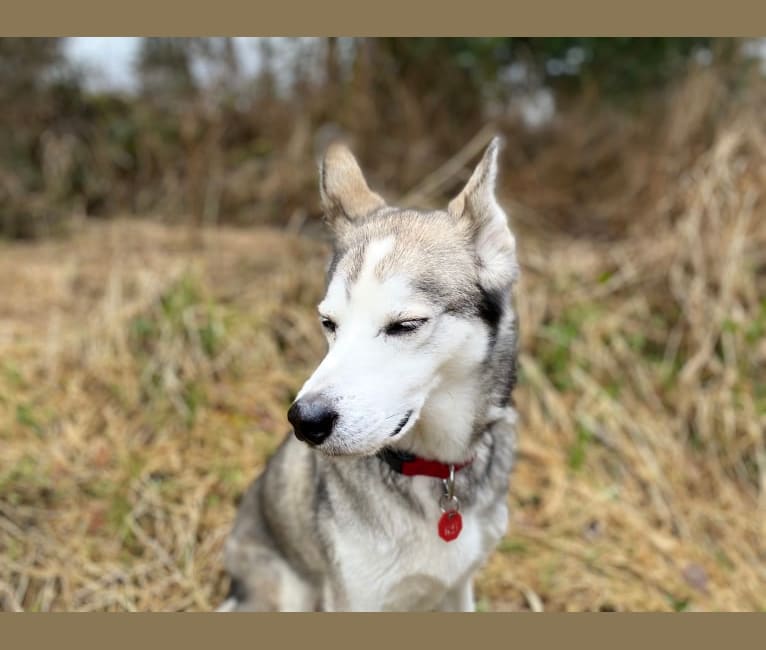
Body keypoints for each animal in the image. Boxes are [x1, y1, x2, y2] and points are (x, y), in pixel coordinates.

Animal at [219, 134, 524, 612]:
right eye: (329, 323)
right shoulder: (355, 597)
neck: (435, 470)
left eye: (405, 325)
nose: (304, 421)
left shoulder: (459, 588)